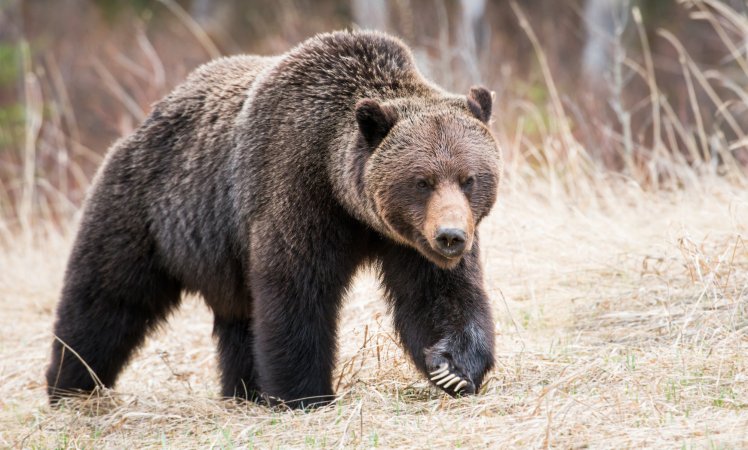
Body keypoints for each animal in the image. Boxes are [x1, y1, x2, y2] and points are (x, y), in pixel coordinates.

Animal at [46, 29, 502, 408]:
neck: (349, 203)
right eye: (422, 181)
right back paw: (69, 386)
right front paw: (304, 395)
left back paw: (243, 390)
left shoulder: (406, 241)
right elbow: (295, 293)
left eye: (469, 178)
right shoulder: (296, 191)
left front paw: (453, 368)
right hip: (148, 210)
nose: (450, 236)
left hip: (221, 256)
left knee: (237, 320)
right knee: (106, 298)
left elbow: (439, 295)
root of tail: (147, 118)